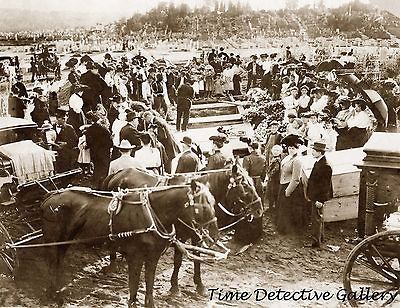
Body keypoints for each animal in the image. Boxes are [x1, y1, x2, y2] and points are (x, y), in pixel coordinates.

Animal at [40, 180, 217, 308]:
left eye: (213, 202)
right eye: (201, 206)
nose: (214, 234)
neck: (150, 214)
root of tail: (49, 199)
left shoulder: (153, 256)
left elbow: (149, 283)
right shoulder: (135, 256)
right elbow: (134, 284)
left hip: (64, 241)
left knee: (57, 263)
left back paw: (57, 292)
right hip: (53, 240)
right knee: (51, 263)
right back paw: (54, 295)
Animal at [101, 164, 264, 296]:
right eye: (245, 185)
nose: (259, 209)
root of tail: (117, 174)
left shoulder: (197, 236)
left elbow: (197, 258)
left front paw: (199, 285)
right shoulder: (180, 237)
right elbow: (178, 260)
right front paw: (175, 287)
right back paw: (113, 263)